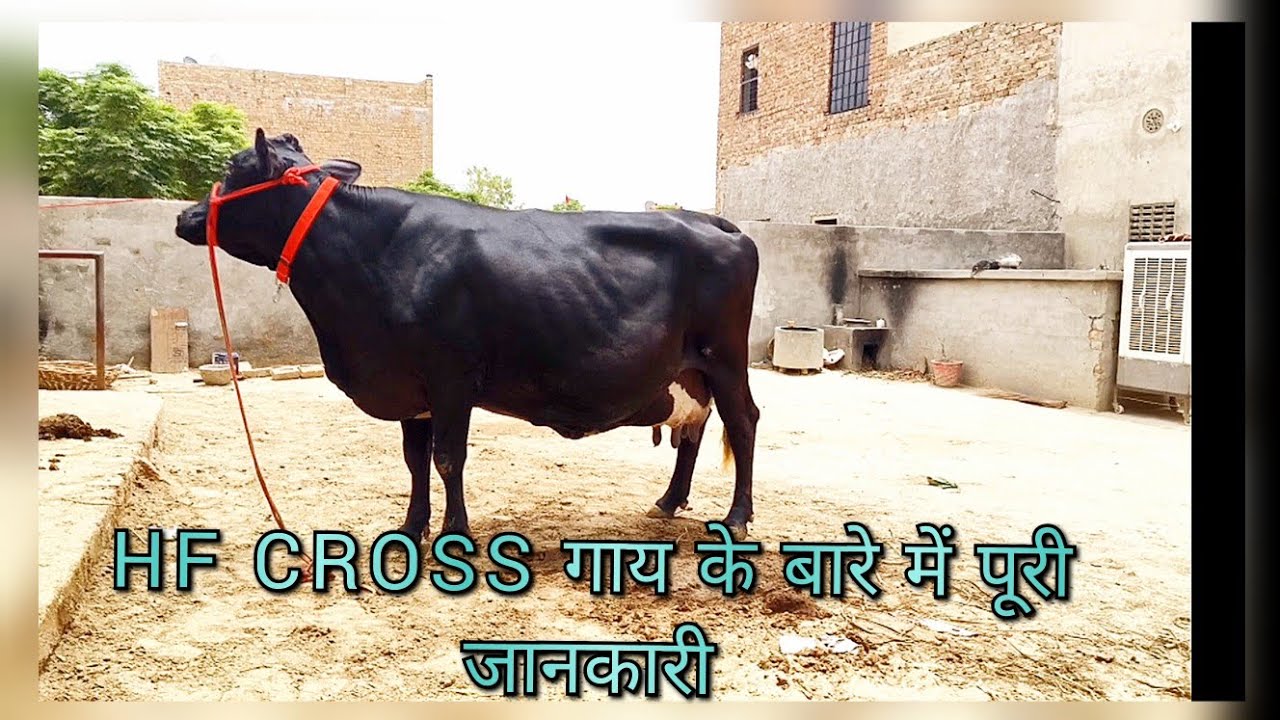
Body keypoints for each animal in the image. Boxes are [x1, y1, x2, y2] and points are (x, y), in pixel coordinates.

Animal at [175, 129, 761, 541]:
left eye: (232, 168)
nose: (185, 217)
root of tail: (712, 221)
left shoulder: (451, 378)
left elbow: (447, 458)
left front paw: (454, 533)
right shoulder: (410, 387)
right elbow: (414, 460)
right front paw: (411, 527)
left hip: (725, 357)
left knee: (743, 422)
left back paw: (736, 518)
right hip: (691, 369)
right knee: (695, 424)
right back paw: (668, 502)